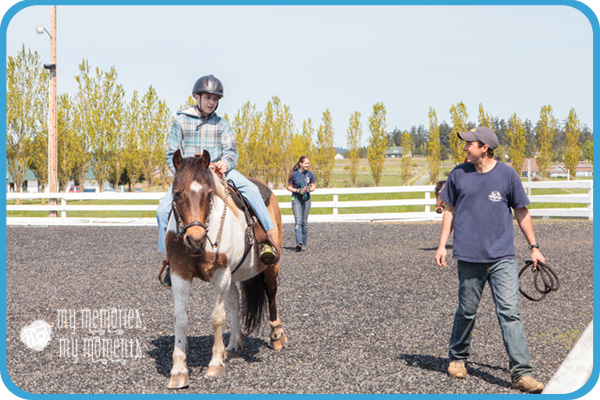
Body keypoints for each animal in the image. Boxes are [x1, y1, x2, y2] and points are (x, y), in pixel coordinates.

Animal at [164, 149, 286, 388]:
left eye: (209, 194)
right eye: (177, 194)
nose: (195, 240)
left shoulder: (221, 274)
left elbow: (217, 317)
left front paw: (215, 364)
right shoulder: (180, 273)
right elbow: (180, 318)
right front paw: (179, 370)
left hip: (270, 266)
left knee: (271, 293)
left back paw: (277, 336)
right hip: (233, 274)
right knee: (235, 302)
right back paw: (233, 346)